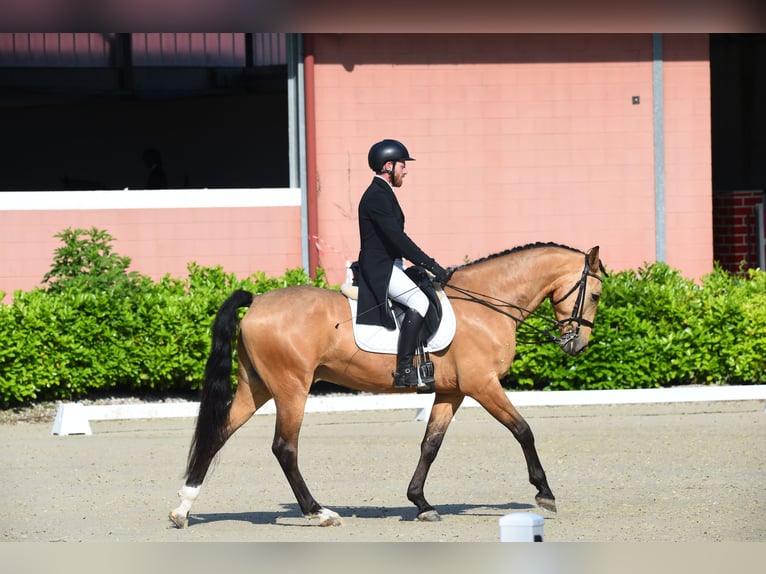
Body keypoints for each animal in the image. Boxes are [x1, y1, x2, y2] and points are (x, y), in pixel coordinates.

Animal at [170, 241, 608, 528]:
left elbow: (431, 444)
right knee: (284, 448)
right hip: (292, 388)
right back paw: (318, 512)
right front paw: (545, 493)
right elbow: (523, 430)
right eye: (597, 294)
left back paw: (183, 509)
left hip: (257, 387)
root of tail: (258, 301)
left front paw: (421, 502)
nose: (577, 344)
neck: (486, 304)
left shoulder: (452, 391)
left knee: (218, 434)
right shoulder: (482, 385)